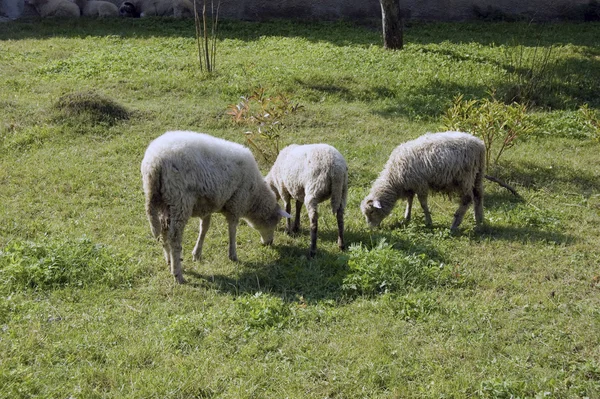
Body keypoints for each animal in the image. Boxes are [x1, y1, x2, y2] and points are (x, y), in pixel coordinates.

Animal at [141, 131, 290, 284]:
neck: (253, 196)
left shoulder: (207, 204)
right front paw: (233, 254)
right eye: (274, 223)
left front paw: (197, 253)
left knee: (163, 232)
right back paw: (178, 274)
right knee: (174, 237)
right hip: (180, 200)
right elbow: (232, 229)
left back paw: (169, 260)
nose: (270, 243)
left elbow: (204, 228)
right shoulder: (236, 202)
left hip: (163, 201)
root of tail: (154, 163)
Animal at [358, 131, 486, 231]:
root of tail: (480, 145)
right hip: (478, 174)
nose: (370, 228)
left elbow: (423, 204)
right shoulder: (410, 185)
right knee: (478, 196)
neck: (394, 178)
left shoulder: (420, 184)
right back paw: (479, 220)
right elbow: (409, 200)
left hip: (465, 177)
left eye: (371, 212)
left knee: (467, 199)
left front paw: (428, 221)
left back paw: (455, 224)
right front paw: (407, 217)